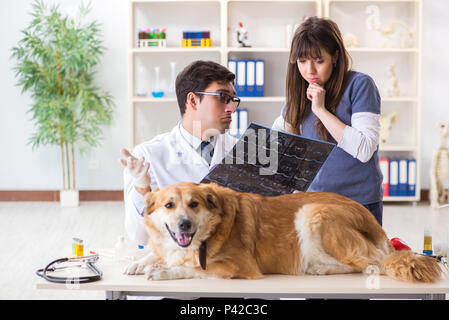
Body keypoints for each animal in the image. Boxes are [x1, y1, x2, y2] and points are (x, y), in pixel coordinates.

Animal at [122, 182, 440, 282]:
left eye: (194, 204)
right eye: (169, 205)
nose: (184, 224)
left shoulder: (240, 267)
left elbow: (195, 268)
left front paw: (164, 271)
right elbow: (160, 252)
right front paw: (140, 261)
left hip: (312, 212)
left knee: (372, 265)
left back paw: (320, 269)